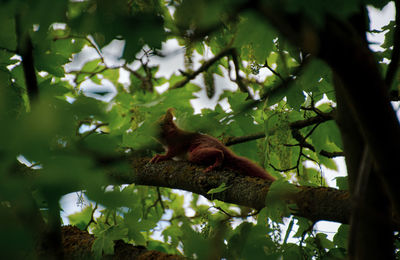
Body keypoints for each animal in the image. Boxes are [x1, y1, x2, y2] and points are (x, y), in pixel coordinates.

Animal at [148, 107, 276, 181]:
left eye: (160, 125)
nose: (147, 130)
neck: (168, 137)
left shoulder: (179, 141)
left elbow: (172, 152)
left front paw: (161, 156)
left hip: (199, 149)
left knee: (217, 153)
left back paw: (216, 162)